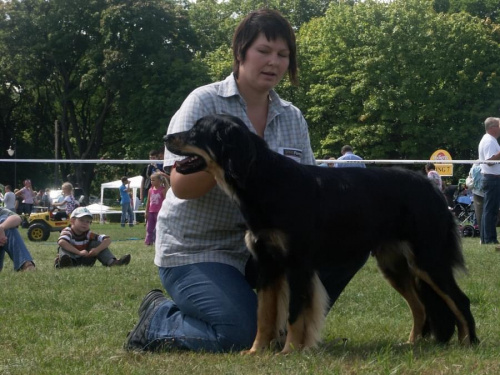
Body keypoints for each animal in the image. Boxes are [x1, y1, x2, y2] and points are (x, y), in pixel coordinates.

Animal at [164, 114, 476, 356]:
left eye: (197, 131)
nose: (167, 137)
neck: (265, 180)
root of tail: (434, 190)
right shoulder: (268, 263)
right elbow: (264, 315)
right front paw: (256, 351)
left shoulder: (297, 263)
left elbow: (294, 312)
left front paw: (289, 351)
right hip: (395, 265)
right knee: (421, 306)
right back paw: (412, 344)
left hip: (428, 259)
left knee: (459, 300)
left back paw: (468, 343)